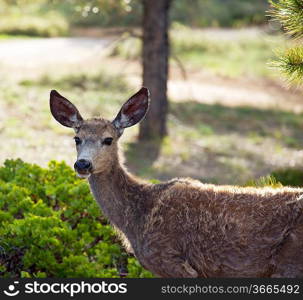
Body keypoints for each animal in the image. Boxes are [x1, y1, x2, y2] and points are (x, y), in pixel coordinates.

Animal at [50, 87, 303, 278]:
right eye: (77, 138)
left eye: (108, 139)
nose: (83, 164)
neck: (137, 217)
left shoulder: (170, 260)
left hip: (290, 262)